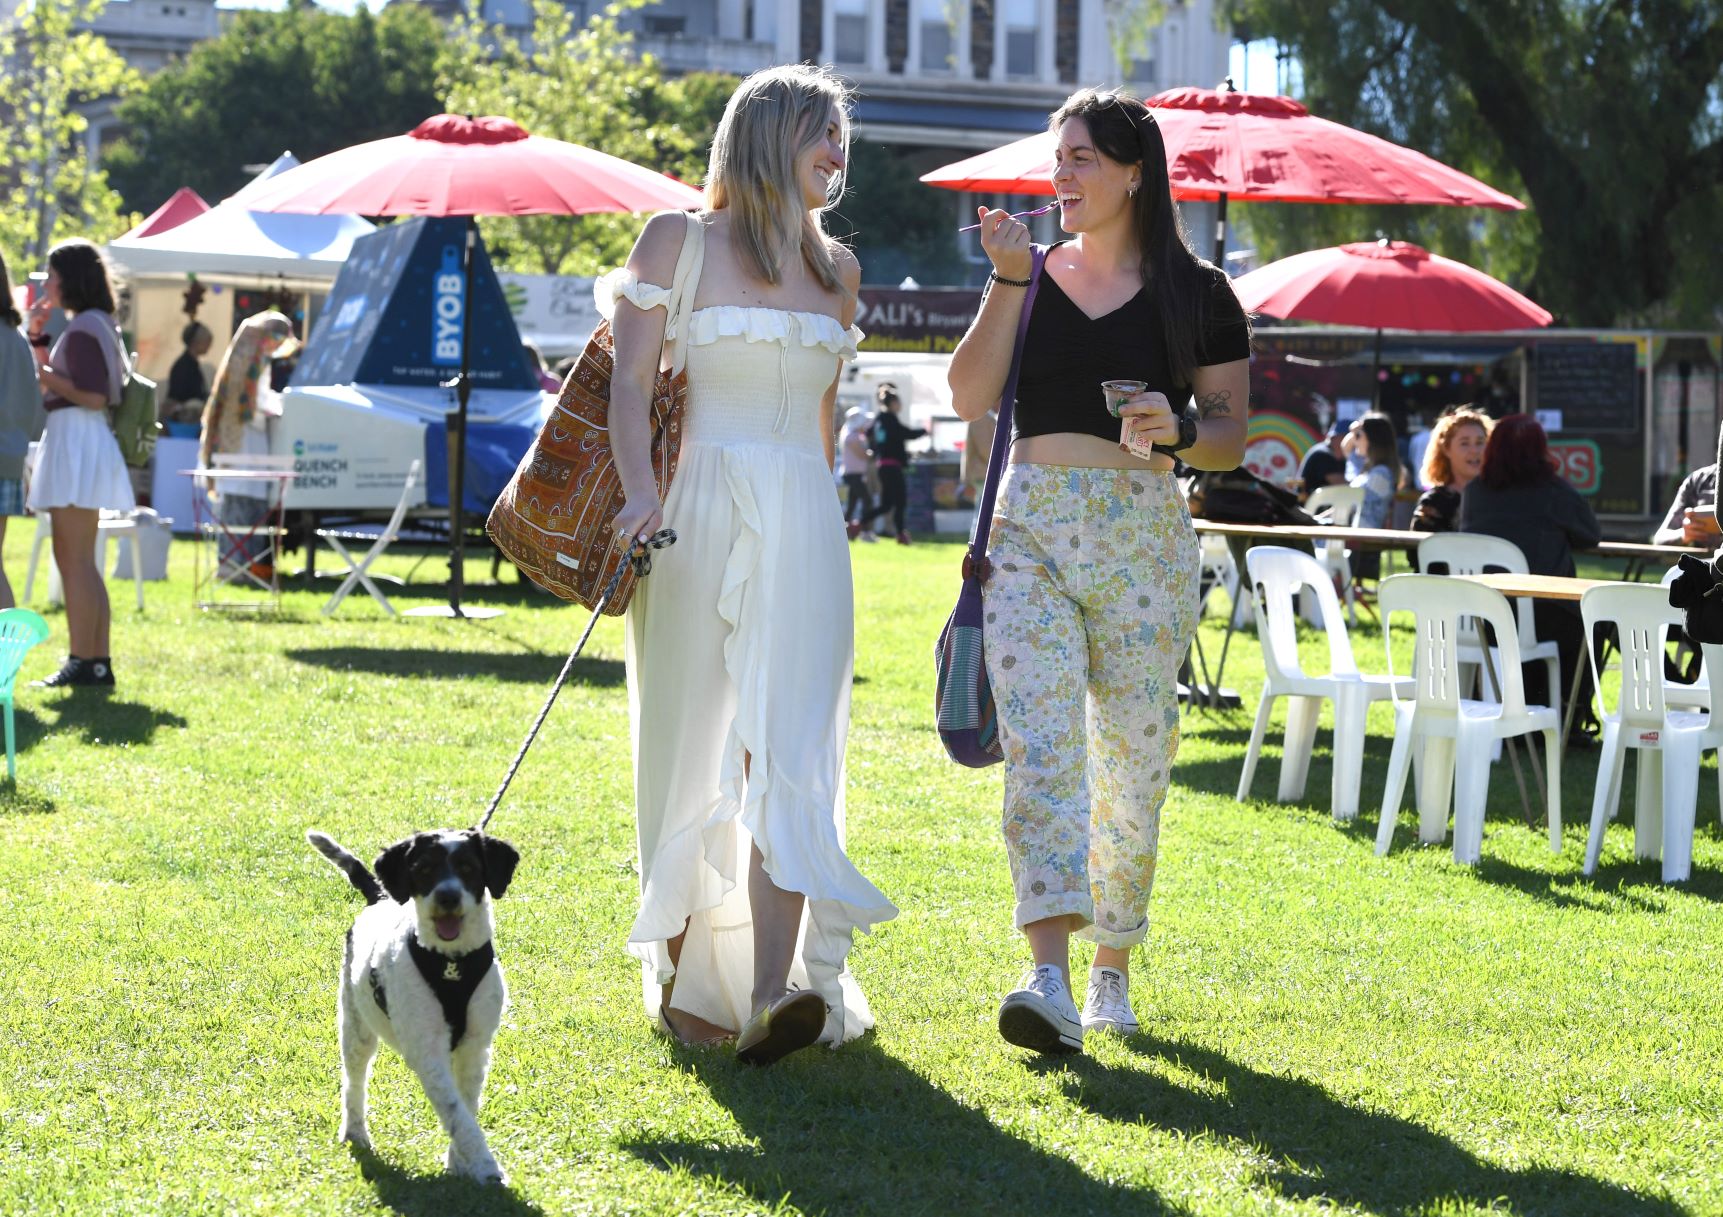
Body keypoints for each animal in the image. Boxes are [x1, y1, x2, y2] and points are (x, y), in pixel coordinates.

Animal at [306, 830, 516, 1179]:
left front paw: (459, 1163)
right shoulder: (427, 1050)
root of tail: (380, 898)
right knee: (354, 1082)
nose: (447, 898)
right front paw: (486, 1168)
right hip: (355, 1024)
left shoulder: (476, 1047)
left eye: (468, 867)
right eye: (424, 869)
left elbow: (466, 1106)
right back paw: (355, 1132)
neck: (451, 962)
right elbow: (456, 1112)